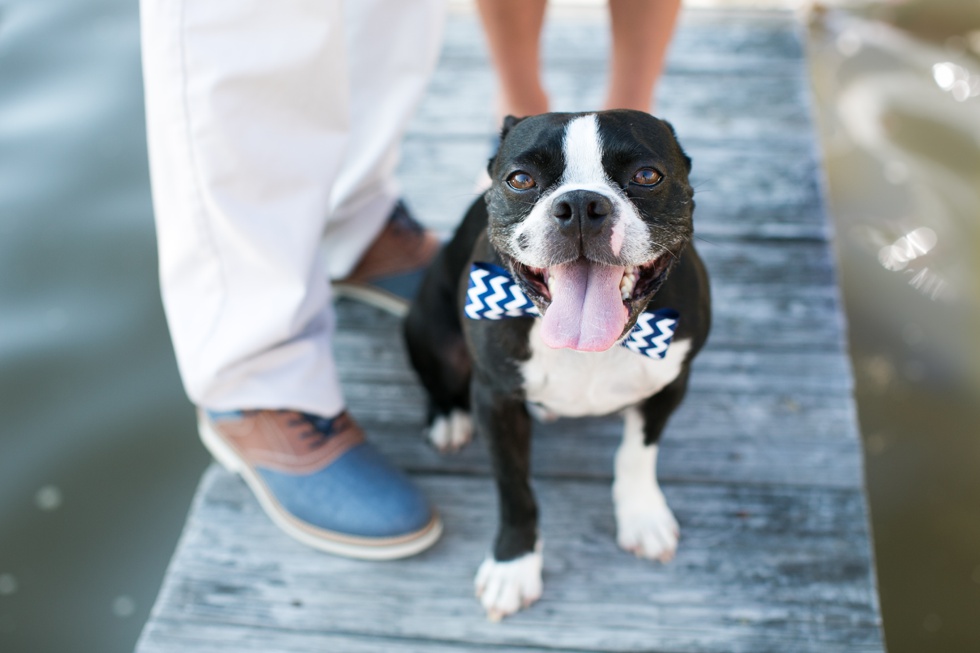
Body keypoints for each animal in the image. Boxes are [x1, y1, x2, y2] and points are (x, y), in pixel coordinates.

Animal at [402, 109, 708, 620]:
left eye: (647, 176)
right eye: (521, 180)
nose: (582, 204)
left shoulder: (670, 383)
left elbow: (637, 453)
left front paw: (642, 517)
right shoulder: (496, 401)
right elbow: (514, 490)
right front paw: (513, 565)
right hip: (429, 327)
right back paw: (449, 419)